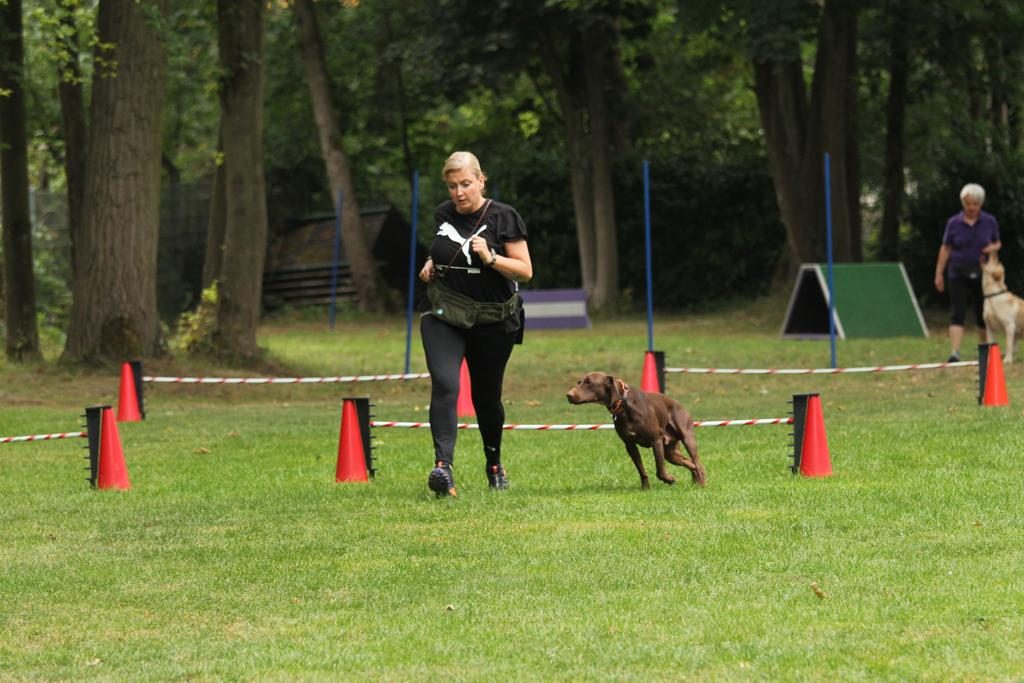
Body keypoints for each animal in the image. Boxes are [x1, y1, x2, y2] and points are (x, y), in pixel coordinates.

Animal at [566, 372, 706, 489]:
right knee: (691, 464)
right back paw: (696, 481)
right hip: (671, 453)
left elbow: (660, 470)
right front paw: (646, 489)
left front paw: (669, 479)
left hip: (687, 439)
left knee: (697, 463)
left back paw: (701, 484)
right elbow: (641, 470)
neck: (623, 405)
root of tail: (681, 405)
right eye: (579, 382)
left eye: (589, 382)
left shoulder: (656, 440)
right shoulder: (630, 445)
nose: (568, 395)